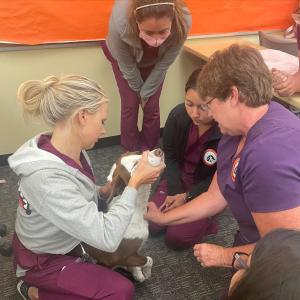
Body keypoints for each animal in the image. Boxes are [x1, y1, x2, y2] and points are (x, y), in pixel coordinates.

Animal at [84, 149, 164, 282]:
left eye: (140, 153)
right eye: (136, 165)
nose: (159, 151)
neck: (137, 208)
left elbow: (146, 261)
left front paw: (137, 272)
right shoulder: (122, 256)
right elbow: (148, 260)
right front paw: (145, 273)